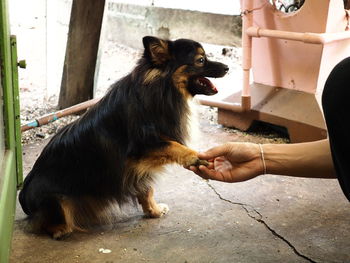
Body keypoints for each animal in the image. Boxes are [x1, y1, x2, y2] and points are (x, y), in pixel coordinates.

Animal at [18, 36, 230, 240]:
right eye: (201, 60)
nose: (227, 68)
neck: (164, 91)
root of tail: (23, 195)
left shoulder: (138, 166)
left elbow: (147, 188)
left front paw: (153, 211)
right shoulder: (141, 149)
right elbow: (173, 146)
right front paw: (194, 156)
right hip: (57, 200)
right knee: (47, 221)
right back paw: (61, 230)